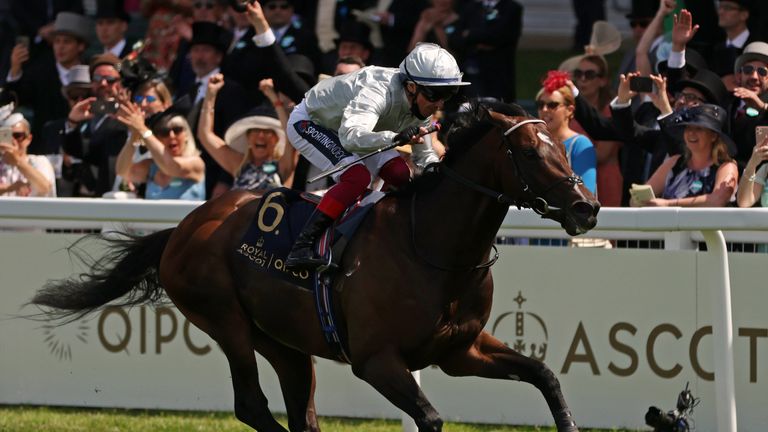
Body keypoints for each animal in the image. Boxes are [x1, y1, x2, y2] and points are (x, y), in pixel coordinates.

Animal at [31, 102, 600, 432]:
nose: (587, 207)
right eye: (530, 151)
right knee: (252, 405)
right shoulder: (376, 360)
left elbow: (545, 376)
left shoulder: (460, 350)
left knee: (299, 409)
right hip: (224, 319)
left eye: (559, 140)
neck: (434, 248)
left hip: (284, 341)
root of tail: (185, 227)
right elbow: (431, 419)